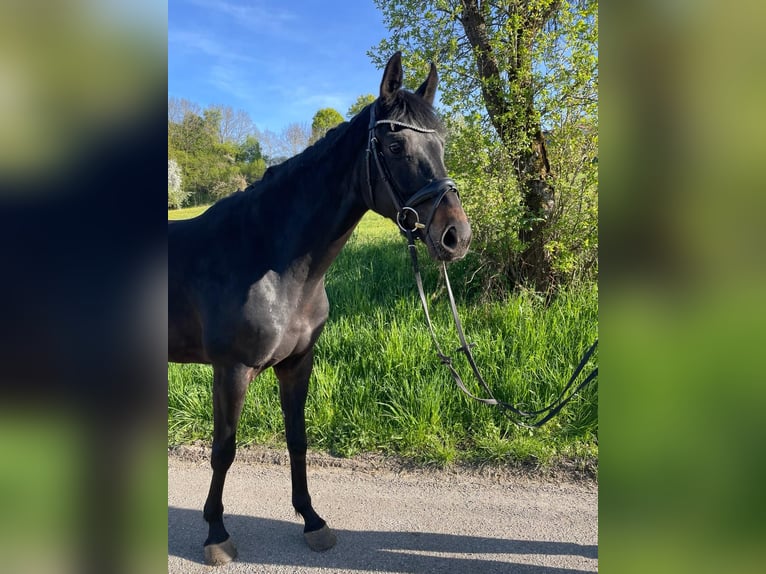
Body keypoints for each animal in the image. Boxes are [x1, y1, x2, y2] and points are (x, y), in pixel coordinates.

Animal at [168, 52, 472, 565]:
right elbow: (224, 449)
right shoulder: (231, 370)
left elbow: (298, 438)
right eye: (394, 145)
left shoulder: (297, 362)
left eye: (443, 144)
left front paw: (312, 520)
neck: (270, 259)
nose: (455, 236)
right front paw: (216, 534)